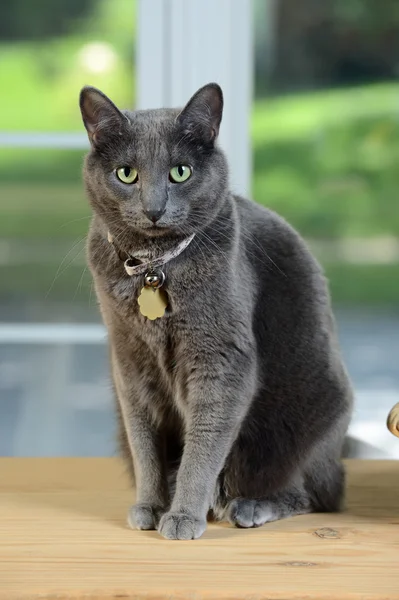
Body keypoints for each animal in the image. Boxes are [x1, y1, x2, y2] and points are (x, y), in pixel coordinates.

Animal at [79, 83, 354, 540]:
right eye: (126, 174)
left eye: (180, 172)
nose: (154, 209)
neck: (155, 266)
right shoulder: (130, 361)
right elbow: (144, 442)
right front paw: (150, 506)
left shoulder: (222, 358)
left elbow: (204, 442)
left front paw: (183, 515)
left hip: (308, 419)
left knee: (312, 493)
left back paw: (248, 506)